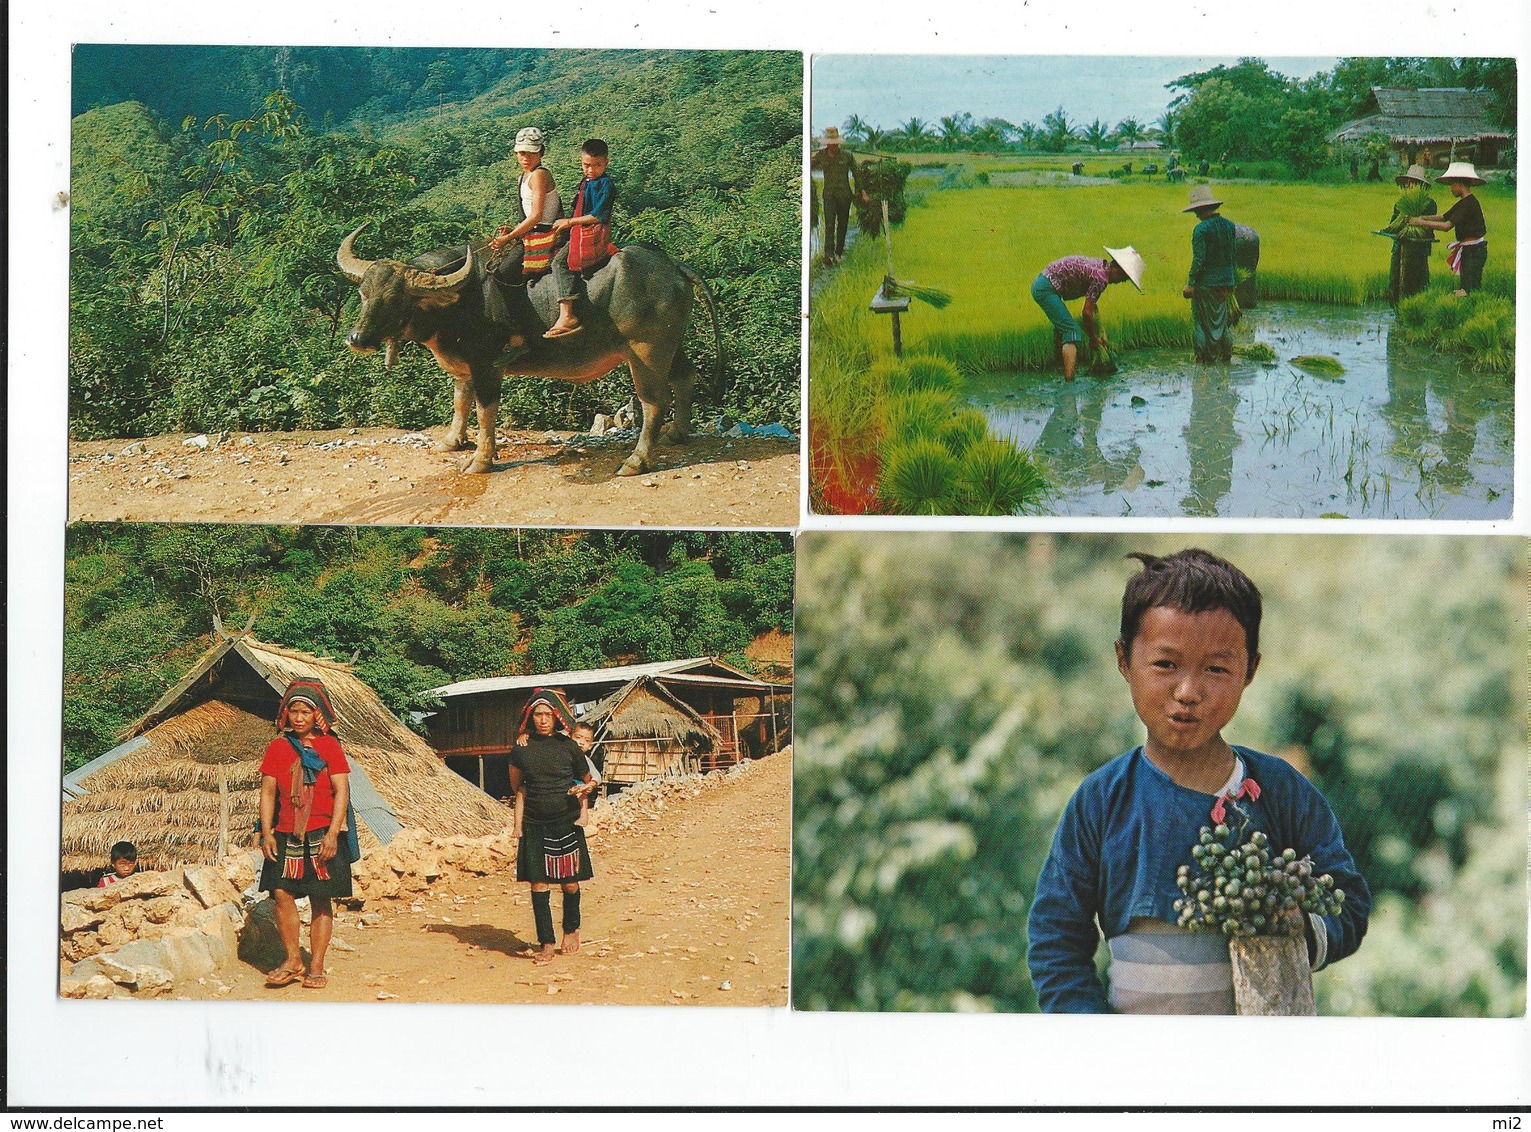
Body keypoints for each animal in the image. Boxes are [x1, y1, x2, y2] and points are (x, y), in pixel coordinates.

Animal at [338, 228, 719, 474]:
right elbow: (460, 402)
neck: (460, 300)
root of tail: (671, 266)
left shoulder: (487, 367)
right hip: (670, 346)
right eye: (364, 294)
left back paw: (636, 461)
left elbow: (484, 411)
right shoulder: (464, 368)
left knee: (653, 402)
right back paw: (677, 434)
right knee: (685, 377)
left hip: (646, 352)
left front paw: (480, 460)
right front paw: (452, 441)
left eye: (395, 298)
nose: (357, 338)